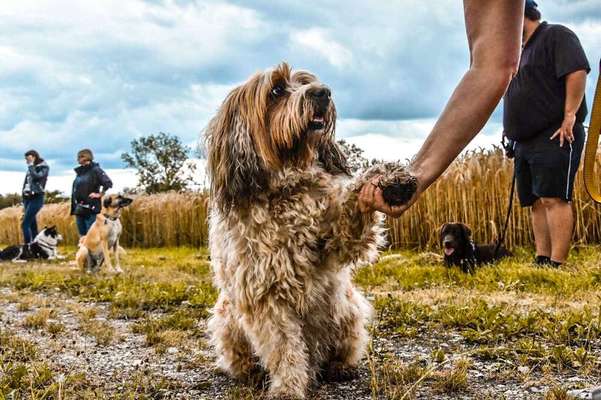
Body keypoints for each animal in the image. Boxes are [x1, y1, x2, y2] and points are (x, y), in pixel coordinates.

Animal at [204, 62, 410, 396]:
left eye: (305, 81)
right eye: (276, 90)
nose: (323, 92)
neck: (287, 190)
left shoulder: (340, 236)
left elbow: (354, 197)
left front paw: (390, 176)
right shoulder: (265, 296)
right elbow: (284, 348)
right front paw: (287, 387)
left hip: (347, 307)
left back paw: (340, 367)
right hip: (226, 317)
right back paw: (251, 373)